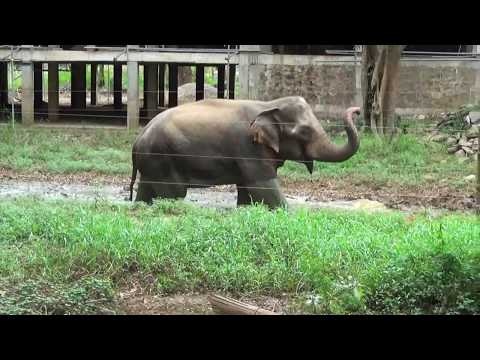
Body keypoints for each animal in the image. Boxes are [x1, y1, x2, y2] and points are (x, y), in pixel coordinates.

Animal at [127, 95, 360, 210]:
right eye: (304, 131)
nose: (357, 110)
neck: (269, 105)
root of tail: (137, 140)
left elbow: (248, 189)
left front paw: (246, 210)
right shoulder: (249, 147)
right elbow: (263, 186)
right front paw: (290, 213)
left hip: (153, 162)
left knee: (146, 191)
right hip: (163, 159)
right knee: (173, 194)